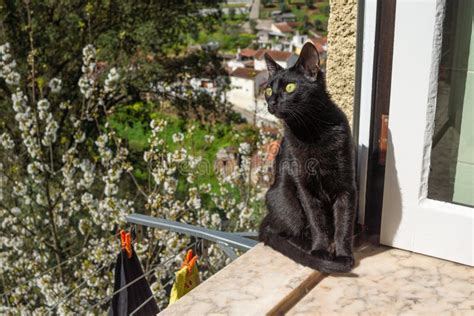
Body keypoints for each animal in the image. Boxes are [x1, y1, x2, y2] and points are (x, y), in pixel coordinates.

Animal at [260, 43, 356, 272]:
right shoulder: (305, 187)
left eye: (289, 88)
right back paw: (305, 246)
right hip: (286, 200)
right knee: (283, 231)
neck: (311, 131)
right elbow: (316, 220)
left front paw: (343, 255)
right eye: (268, 90)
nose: (272, 102)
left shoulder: (346, 186)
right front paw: (320, 251)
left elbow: (344, 223)